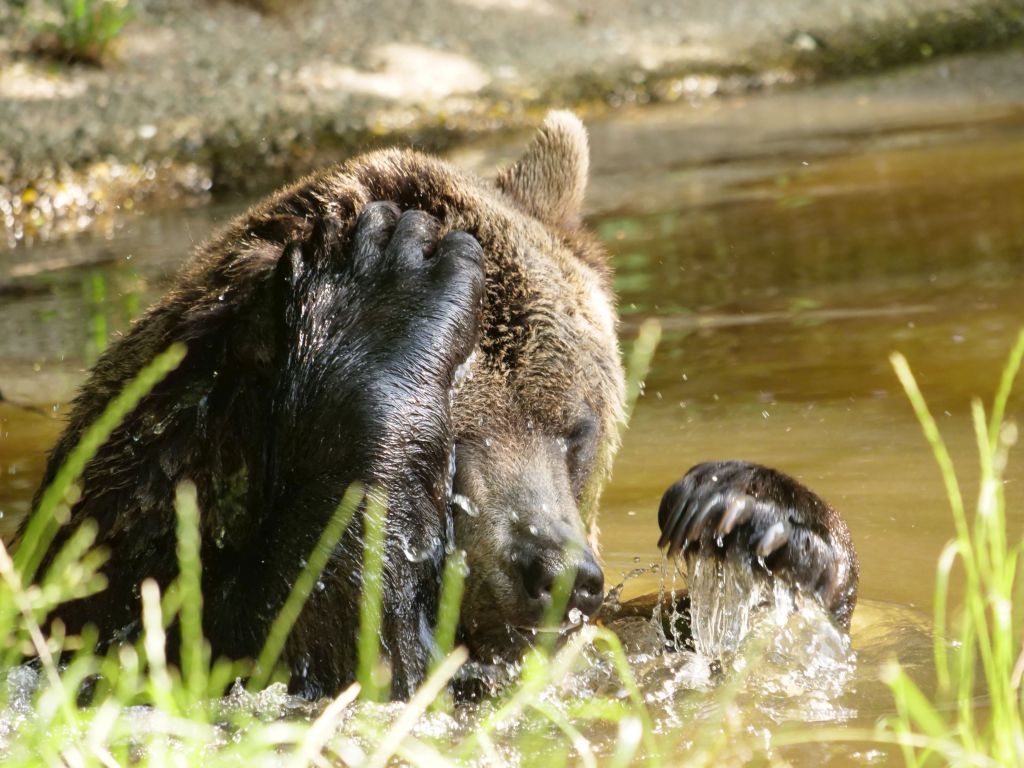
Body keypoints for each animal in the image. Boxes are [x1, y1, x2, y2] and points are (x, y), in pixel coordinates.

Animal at [23, 111, 858, 700]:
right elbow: (325, 651)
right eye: (452, 442)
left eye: (575, 429)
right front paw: (384, 298)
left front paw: (759, 518)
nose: (560, 571)